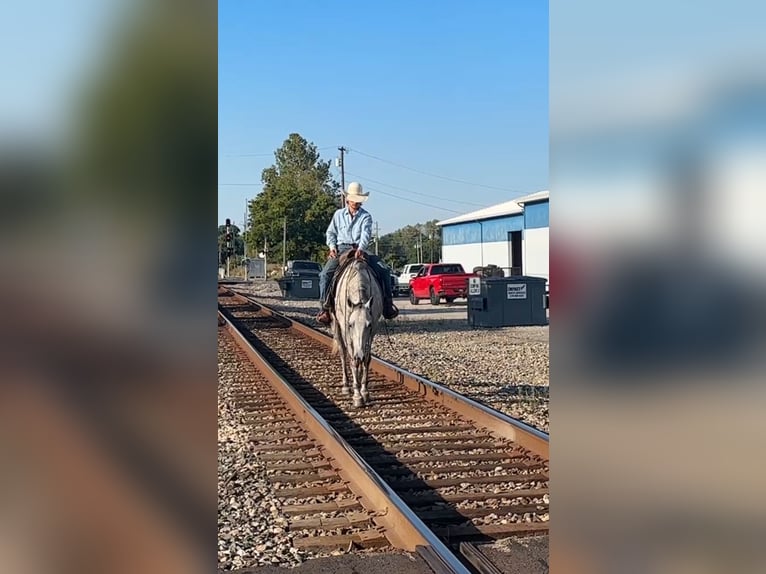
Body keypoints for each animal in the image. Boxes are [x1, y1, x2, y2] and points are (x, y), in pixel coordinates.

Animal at [331, 257, 384, 407]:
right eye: (350, 325)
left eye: (369, 325)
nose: (359, 355)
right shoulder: (345, 329)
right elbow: (352, 360)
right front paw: (357, 396)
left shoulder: (373, 331)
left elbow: (366, 359)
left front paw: (364, 391)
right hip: (336, 326)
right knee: (343, 353)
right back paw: (346, 385)